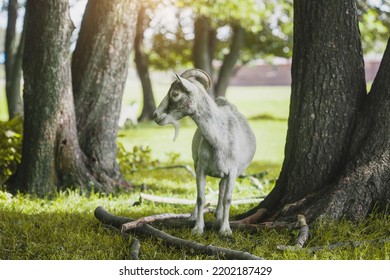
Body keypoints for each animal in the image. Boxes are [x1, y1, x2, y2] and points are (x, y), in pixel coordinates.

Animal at [152, 68, 256, 236]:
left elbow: (227, 198)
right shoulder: (201, 168)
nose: (155, 115)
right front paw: (197, 228)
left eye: (175, 93)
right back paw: (195, 216)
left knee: (221, 188)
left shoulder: (233, 171)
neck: (220, 141)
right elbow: (201, 197)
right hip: (195, 163)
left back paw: (219, 216)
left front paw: (225, 230)